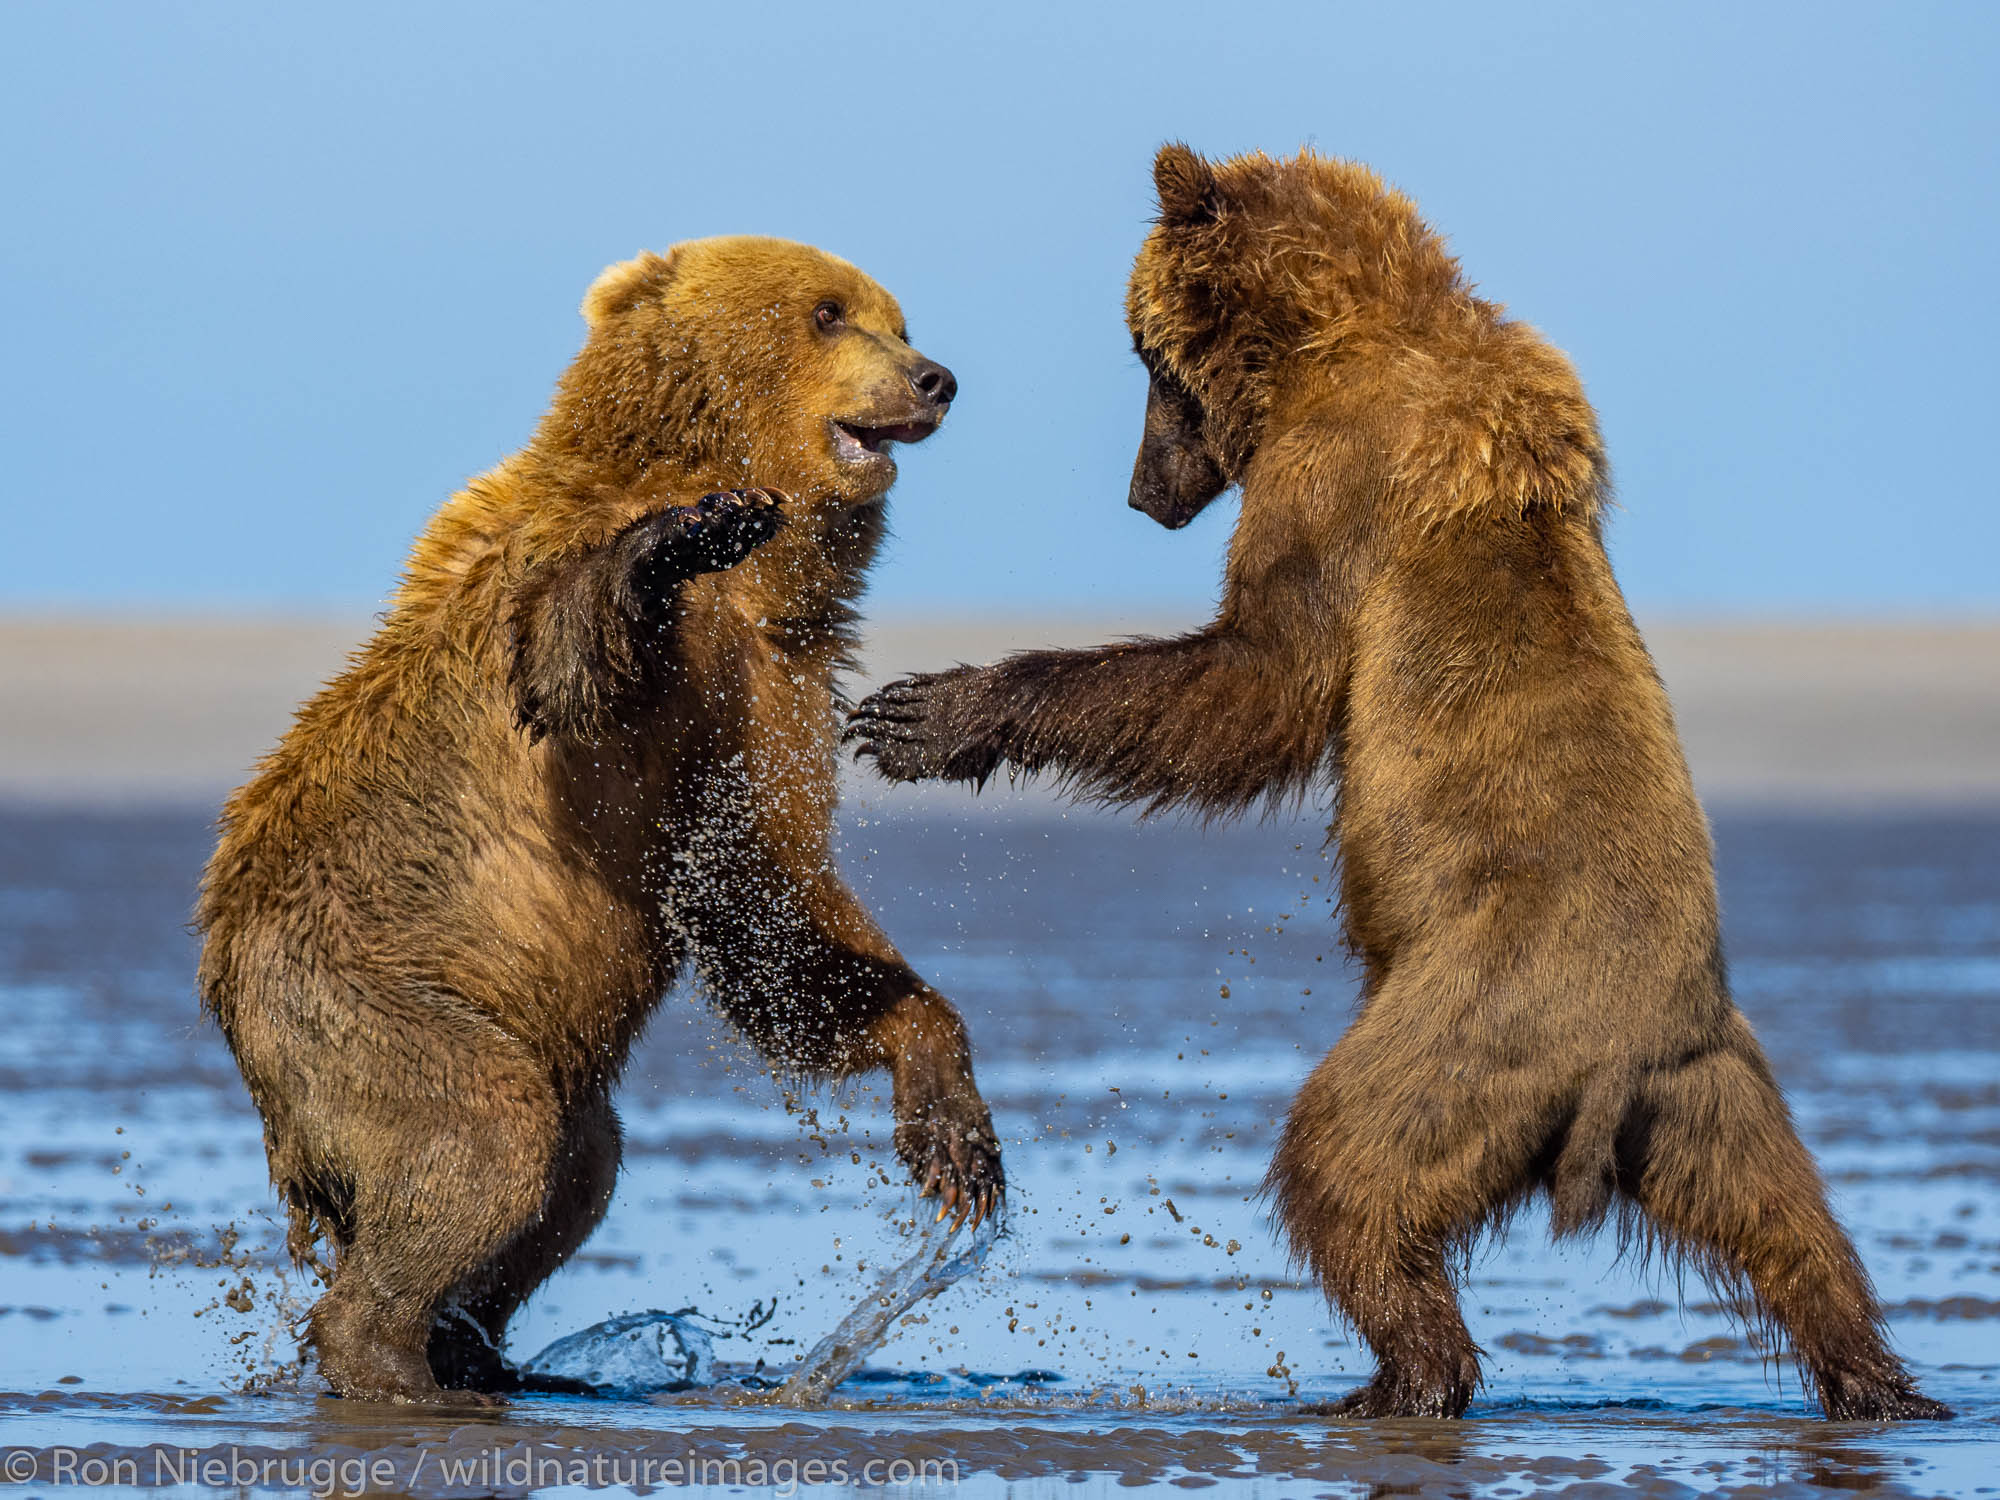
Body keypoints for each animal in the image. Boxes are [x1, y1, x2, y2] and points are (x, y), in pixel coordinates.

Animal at [199, 238, 1000, 1408]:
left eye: (895, 320)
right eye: (827, 312)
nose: (934, 377)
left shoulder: (773, 683)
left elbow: (768, 901)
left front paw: (952, 1125)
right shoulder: (597, 626)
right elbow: (569, 665)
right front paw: (680, 535)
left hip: (519, 1046)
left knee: (575, 1173)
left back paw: (477, 1350)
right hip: (358, 1002)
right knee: (483, 1137)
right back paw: (394, 1362)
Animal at [852, 144, 1944, 1424]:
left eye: (1144, 361)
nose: (1140, 491)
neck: (1338, 345)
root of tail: (1613, 1062)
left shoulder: (1339, 479)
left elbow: (1259, 679)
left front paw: (923, 714)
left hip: (1470, 1021)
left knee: (1346, 1161)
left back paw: (1398, 1379)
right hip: (1710, 1089)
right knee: (1788, 1228)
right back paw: (1879, 1382)